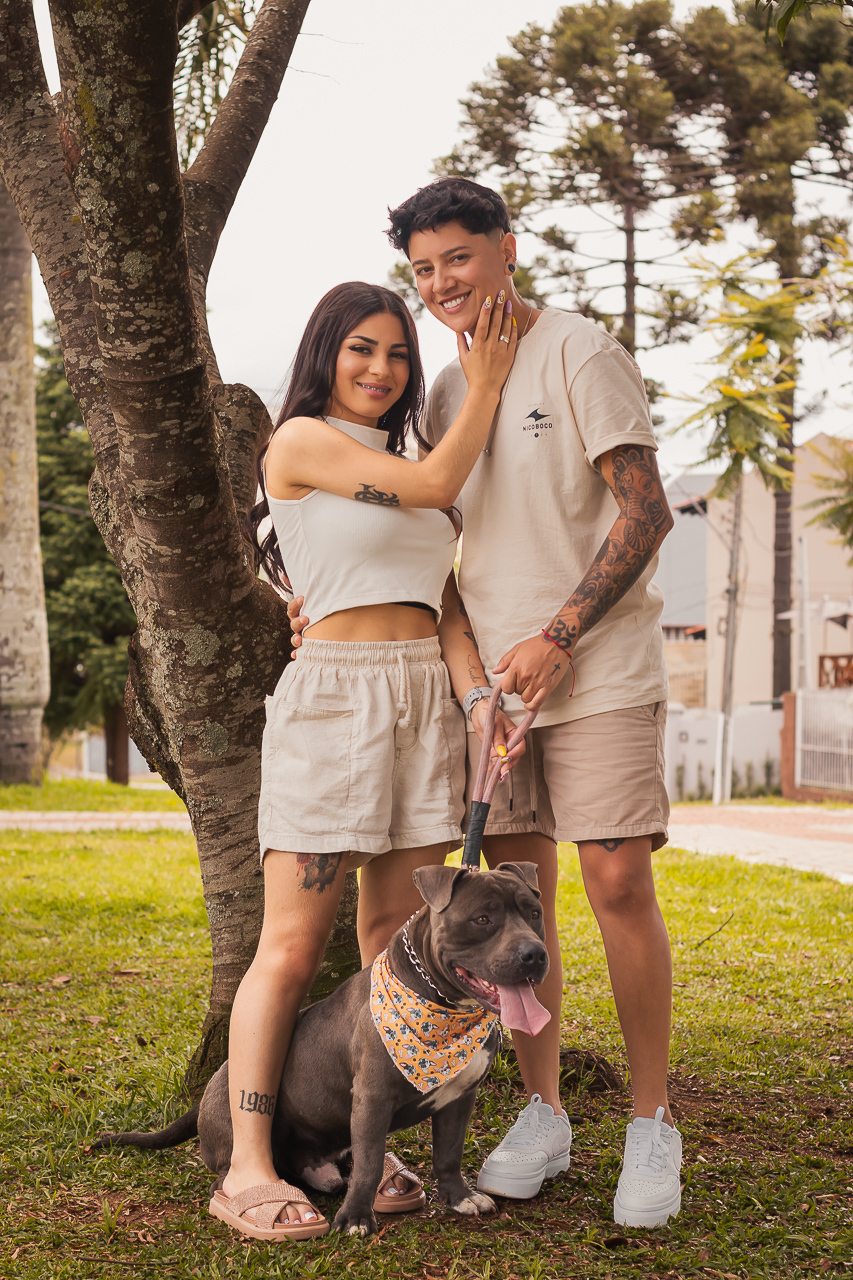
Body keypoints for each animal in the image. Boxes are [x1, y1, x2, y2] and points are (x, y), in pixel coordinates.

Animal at [96, 862, 550, 1236]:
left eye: (534, 913)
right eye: (482, 919)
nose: (534, 954)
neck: (441, 1005)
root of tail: (207, 1092)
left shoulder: (459, 1097)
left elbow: (449, 1153)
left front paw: (459, 1198)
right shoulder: (372, 1098)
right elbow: (370, 1163)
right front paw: (356, 1219)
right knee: (226, 1177)